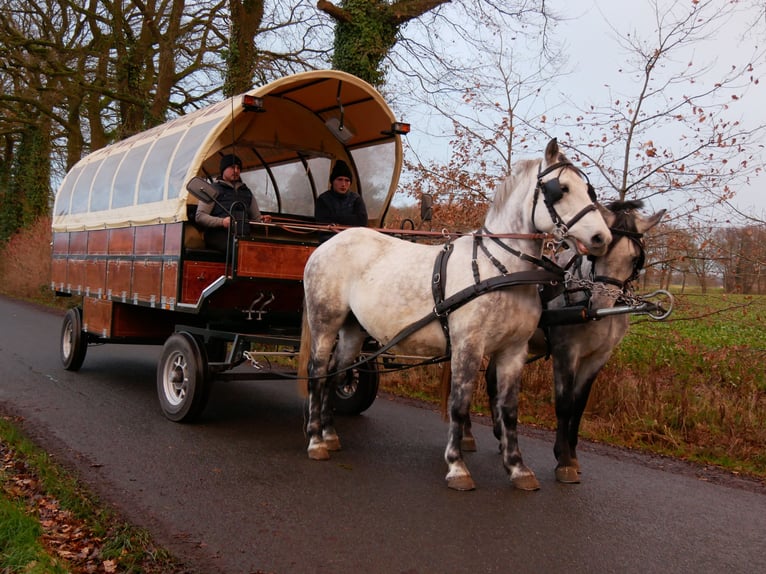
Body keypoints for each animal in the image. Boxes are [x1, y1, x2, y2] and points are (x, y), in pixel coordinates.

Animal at [298, 138, 612, 490]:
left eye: (588, 190)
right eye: (562, 189)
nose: (602, 238)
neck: (499, 269)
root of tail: (328, 244)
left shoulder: (513, 351)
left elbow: (509, 410)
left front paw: (517, 468)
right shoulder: (468, 345)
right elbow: (459, 405)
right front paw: (457, 465)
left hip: (352, 329)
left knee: (335, 373)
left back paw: (329, 434)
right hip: (325, 321)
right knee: (317, 372)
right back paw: (315, 440)